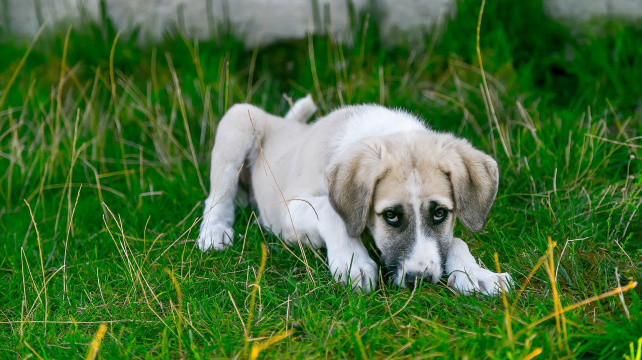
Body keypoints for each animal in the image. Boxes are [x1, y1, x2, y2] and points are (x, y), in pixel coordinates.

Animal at [198, 96, 512, 296]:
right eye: (390, 215)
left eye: (439, 213)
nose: (419, 280)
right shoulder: (289, 209)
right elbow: (330, 211)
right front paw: (352, 261)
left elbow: (455, 240)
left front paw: (476, 273)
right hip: (238, 121)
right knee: (216, 196)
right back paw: (215, 232)